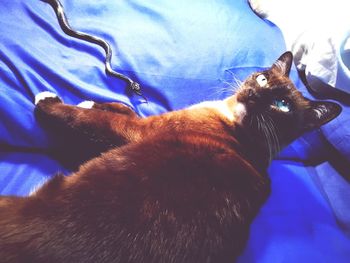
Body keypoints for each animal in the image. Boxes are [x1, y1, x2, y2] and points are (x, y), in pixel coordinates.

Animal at [0, 52, 340, 263]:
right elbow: (120, 106)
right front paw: (91, 101)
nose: (255, 95)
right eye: (263, 80)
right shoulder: (138, 120)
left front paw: (50, 101)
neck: (235, 121)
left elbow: (86, 118)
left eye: (282, 106)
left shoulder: (138, 130)